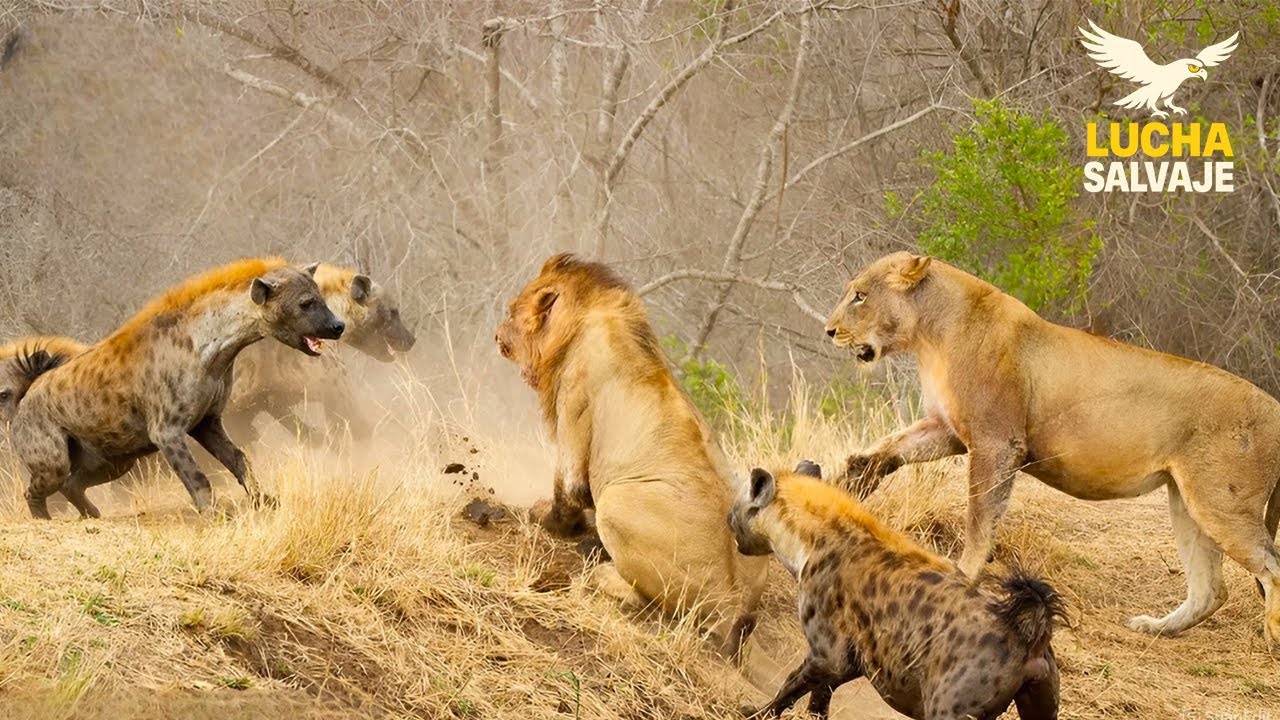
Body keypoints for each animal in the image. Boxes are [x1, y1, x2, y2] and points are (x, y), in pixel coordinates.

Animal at [495, 253, 769, 658]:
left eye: (513, 310)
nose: (497, 334)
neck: (584, 318)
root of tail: (732, 606)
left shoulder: (573, 409)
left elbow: (566, 491)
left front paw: (548, 519)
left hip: (617, 503)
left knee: (644, 599)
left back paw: (599, 566)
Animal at [824, 251, 1280, 644]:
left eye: (859, 295)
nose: (829, 331)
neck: (930, 334)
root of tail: (1273, 406)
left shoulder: (997, 441)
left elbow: (980, 517)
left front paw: (964, 576)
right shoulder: (949, 429)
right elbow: (893, 446)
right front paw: (855, 475)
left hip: (1220, 502)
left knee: (1270, 567)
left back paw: (1272, 636)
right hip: (1187, 501)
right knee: (1211, 590)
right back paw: (1155, 627)